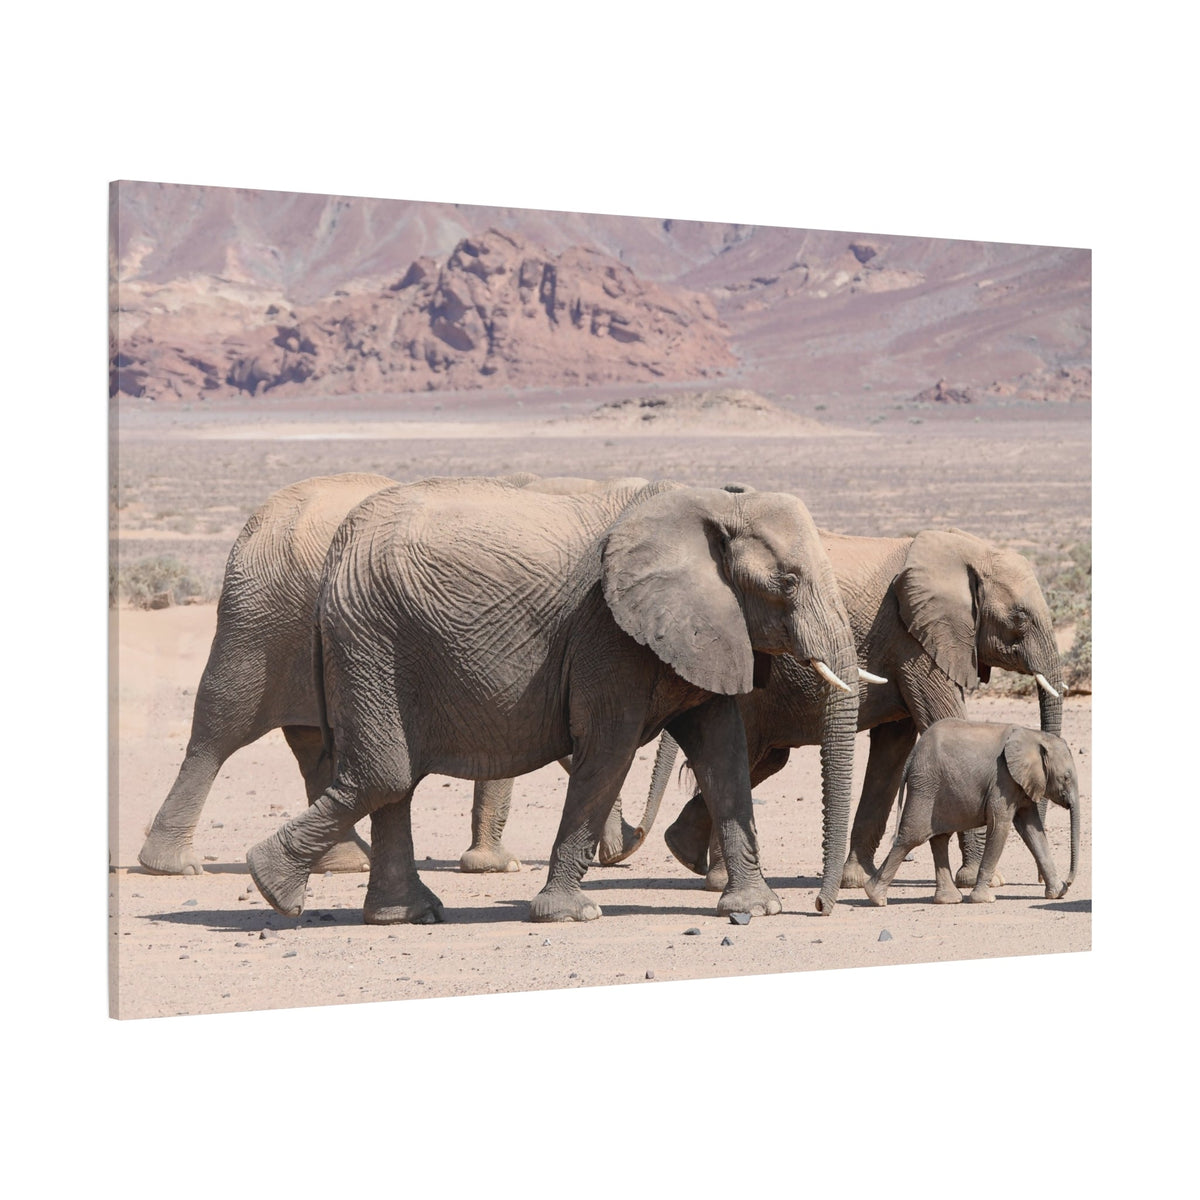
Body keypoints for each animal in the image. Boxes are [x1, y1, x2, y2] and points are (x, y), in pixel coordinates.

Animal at [136, 470, 664, 878]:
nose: (629, 843)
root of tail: (253, 525)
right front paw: (500, 867)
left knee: (313, 742)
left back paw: (346, 863)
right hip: (258, 619)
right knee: (221, 729)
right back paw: (174, 865)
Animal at [244, 475, 861, 924]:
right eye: (787, 582)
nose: (820, 907)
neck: (715, 503)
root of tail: (338, 547)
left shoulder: (707, 625)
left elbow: (723, 753)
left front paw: (759, 908)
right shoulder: (607, 633)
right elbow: (609, 752)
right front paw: (571, 914)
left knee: (391, 781)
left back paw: (401, 915)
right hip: (370, 638)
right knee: (385, 774)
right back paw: (272, 887)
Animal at [499, 526, 1064, 894]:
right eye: (1019, 618)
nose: (1042, 881)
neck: (967, 550)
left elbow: (893, 749)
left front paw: (854, 880)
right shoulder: (915, 638)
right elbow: (936, 723)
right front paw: (981, 879)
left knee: (759, 761)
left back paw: (687, 854)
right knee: (747, 757)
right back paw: (716, 879)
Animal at [863, 720, 1080, 905]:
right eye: (1066, 777)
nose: (1068, 883)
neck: (1034, 735)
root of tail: (912, 756)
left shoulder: (1021, 783)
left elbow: (1032, 830)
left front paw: (1057, 894)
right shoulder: (1003, 779)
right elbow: (999, 826)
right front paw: (985, 899)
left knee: (939, 838)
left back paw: (948, 900)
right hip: (925, 785)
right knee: (911, 837)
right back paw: (876, 897)